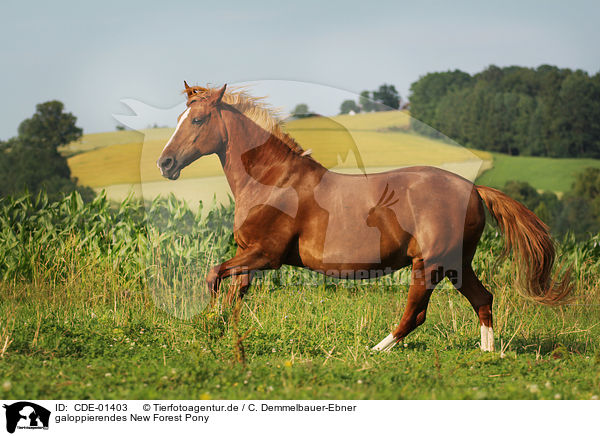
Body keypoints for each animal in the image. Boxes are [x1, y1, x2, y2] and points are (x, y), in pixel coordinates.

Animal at [157, 83, 568, 352]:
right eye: (180, 117)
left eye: (198, 120)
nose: (165, 163)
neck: (273, 181)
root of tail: (474, 190)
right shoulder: (250, 256)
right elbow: (233, 292)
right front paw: (221, 329)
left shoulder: (265, 254)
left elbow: (214, 276)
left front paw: (209, 323)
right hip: (457, 264)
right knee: (483, 299)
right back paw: (486, 355)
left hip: (430, 264)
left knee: (416, 314)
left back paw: (374, 352)